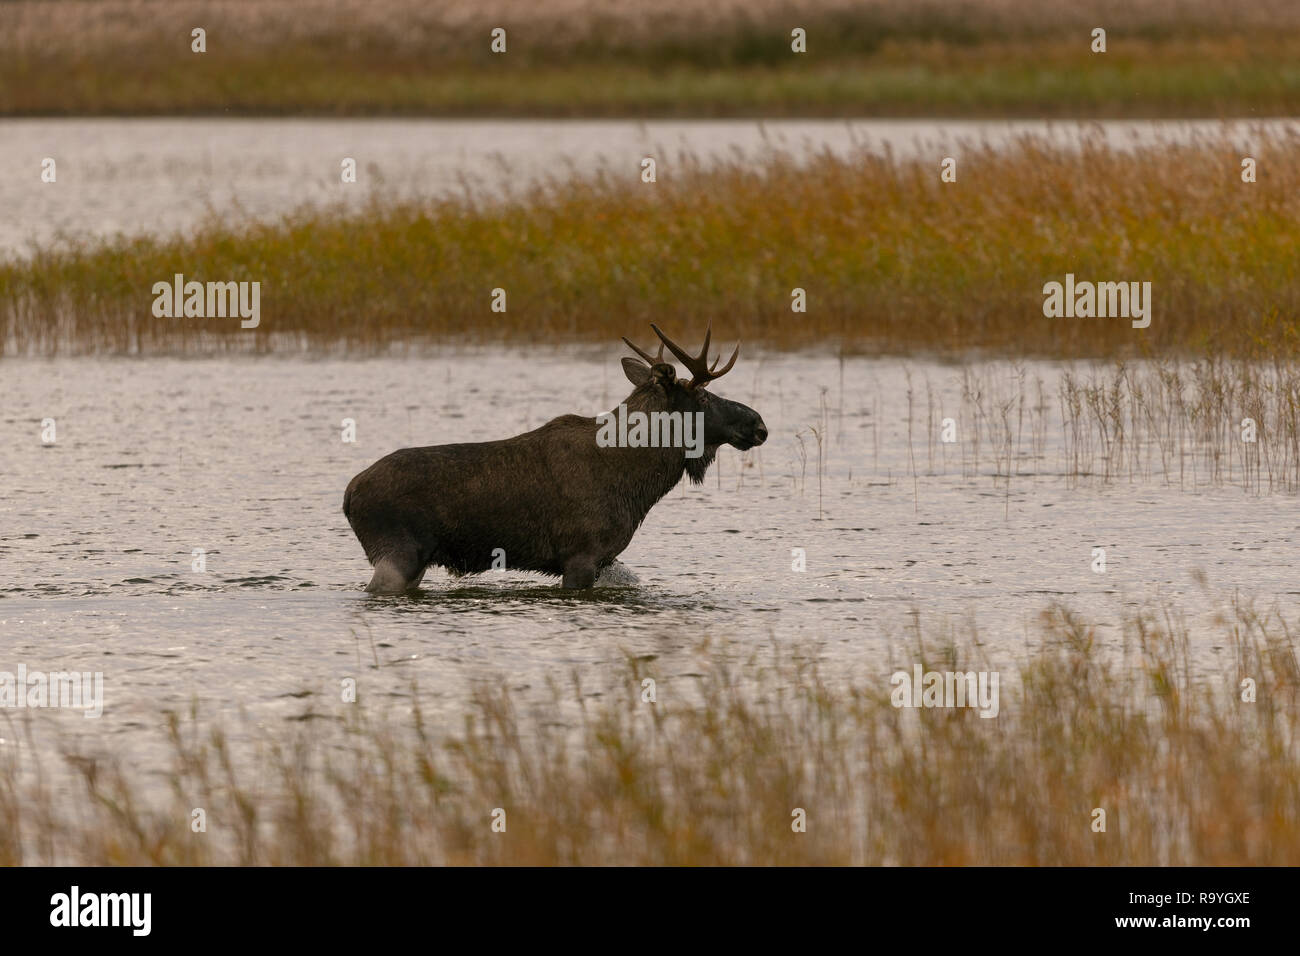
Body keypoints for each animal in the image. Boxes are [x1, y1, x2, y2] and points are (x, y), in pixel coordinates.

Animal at [343, 325, 768, 592]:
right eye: (703, 397)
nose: (759, 424)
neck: (636, 483)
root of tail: (348, 496)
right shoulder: (581, 554)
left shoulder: (604, 559)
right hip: (399, 554)